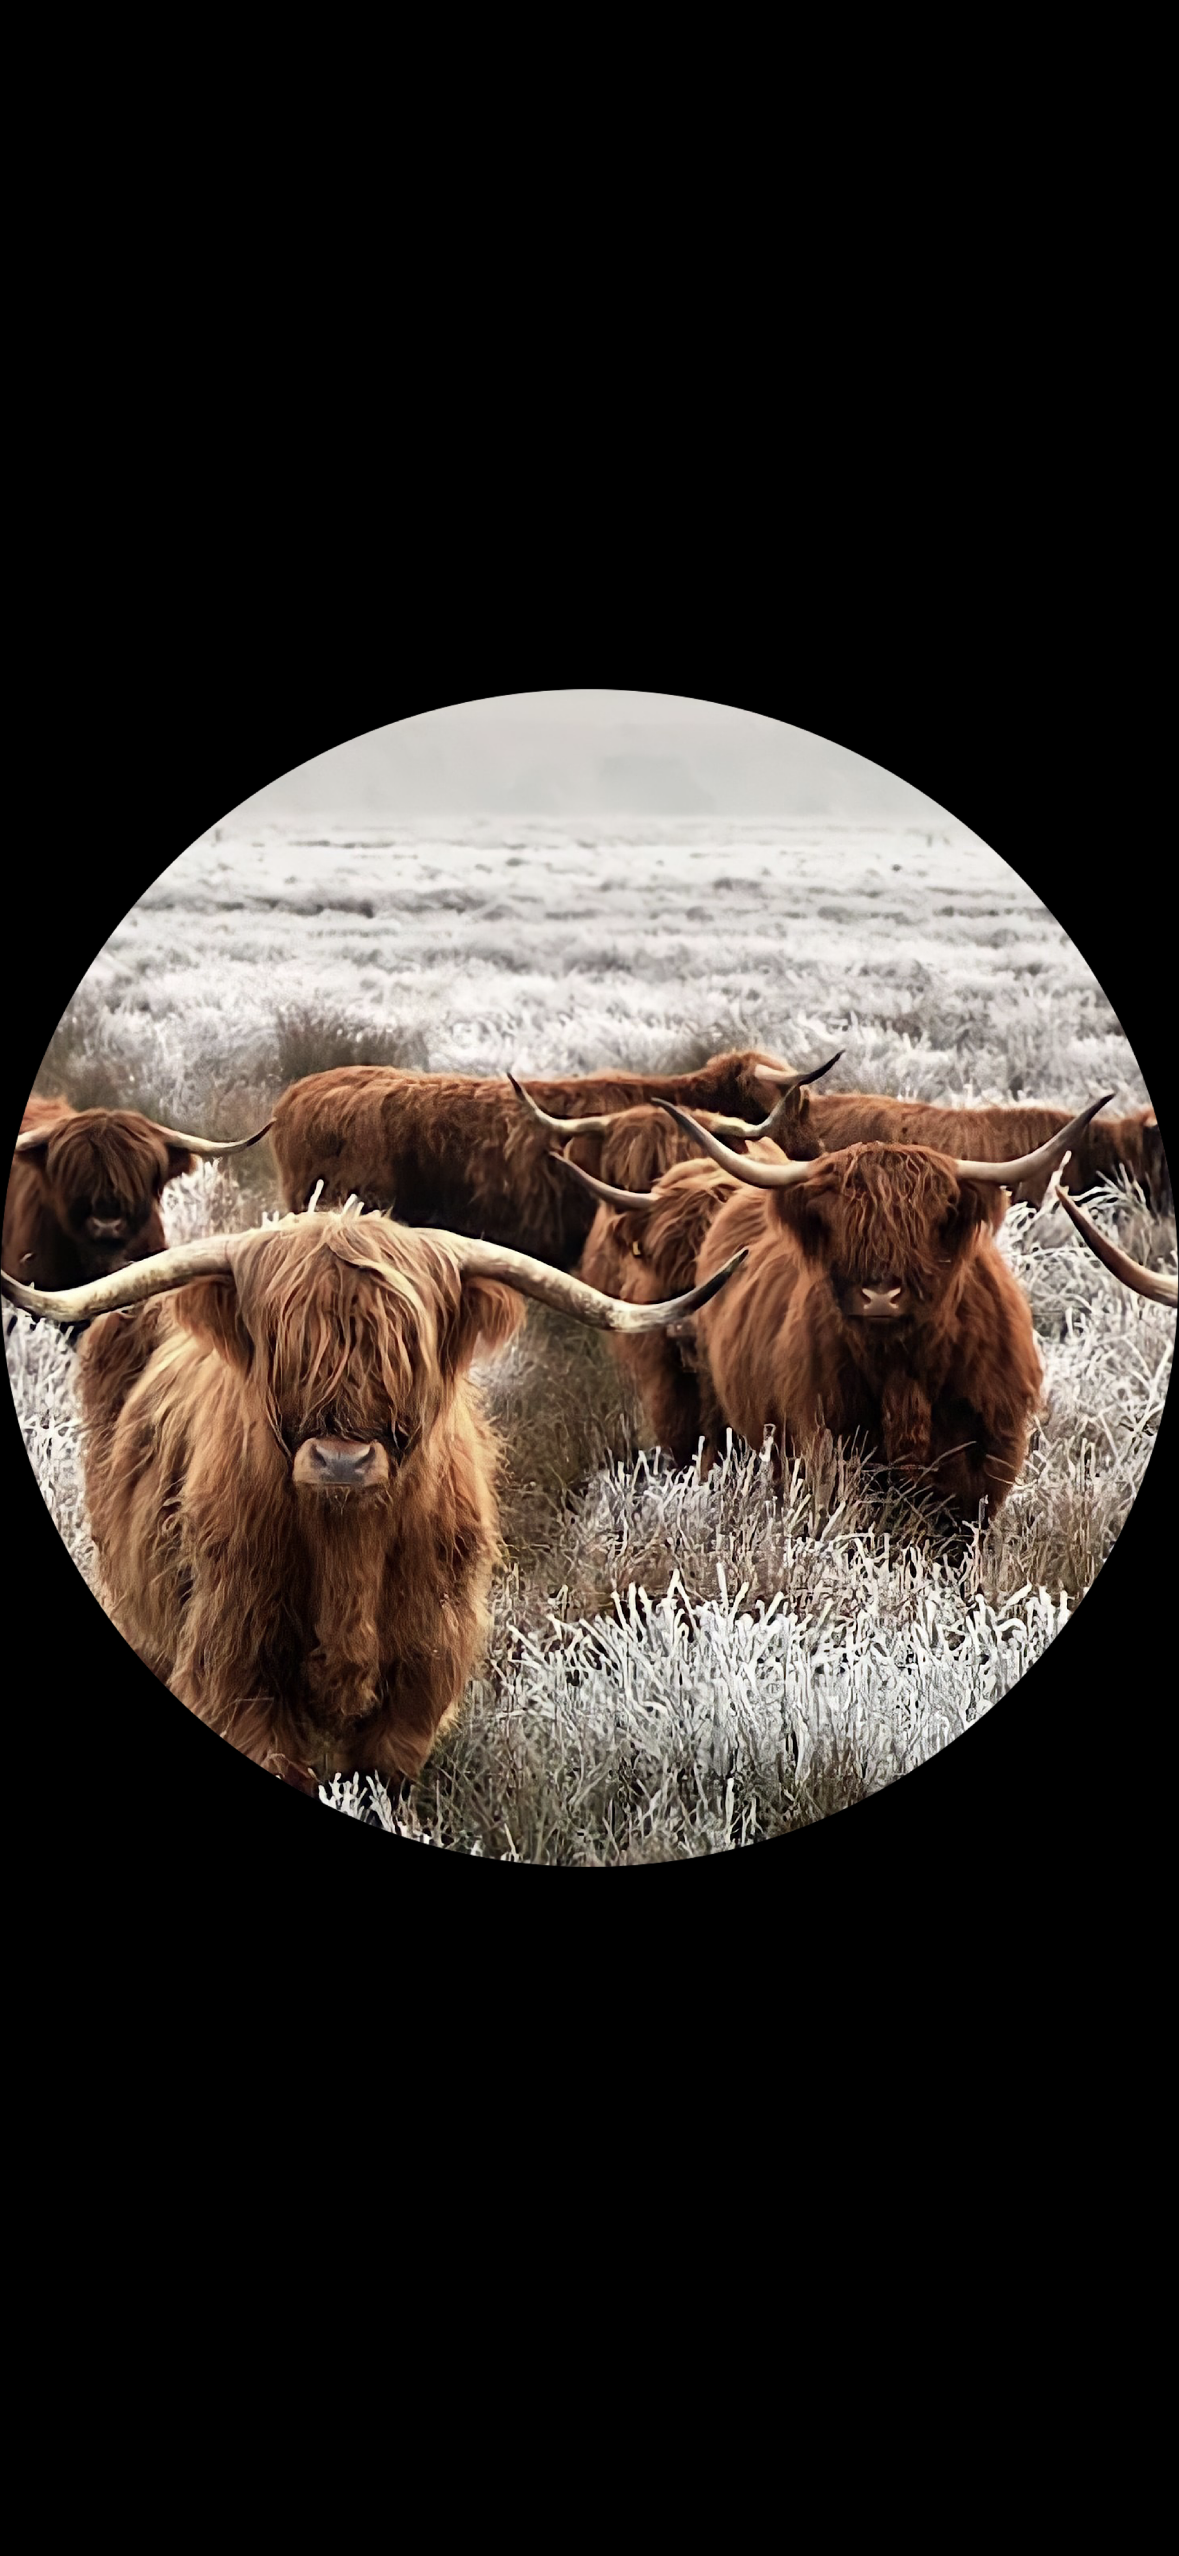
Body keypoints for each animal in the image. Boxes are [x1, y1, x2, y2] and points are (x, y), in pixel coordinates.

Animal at [2, 1207, 747, 1794]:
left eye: (405, 1348)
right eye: (284, 1347)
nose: (341, 1460)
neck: (347, 1549)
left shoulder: (424, 1660)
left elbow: (383, 1770)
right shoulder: (236, 1654)